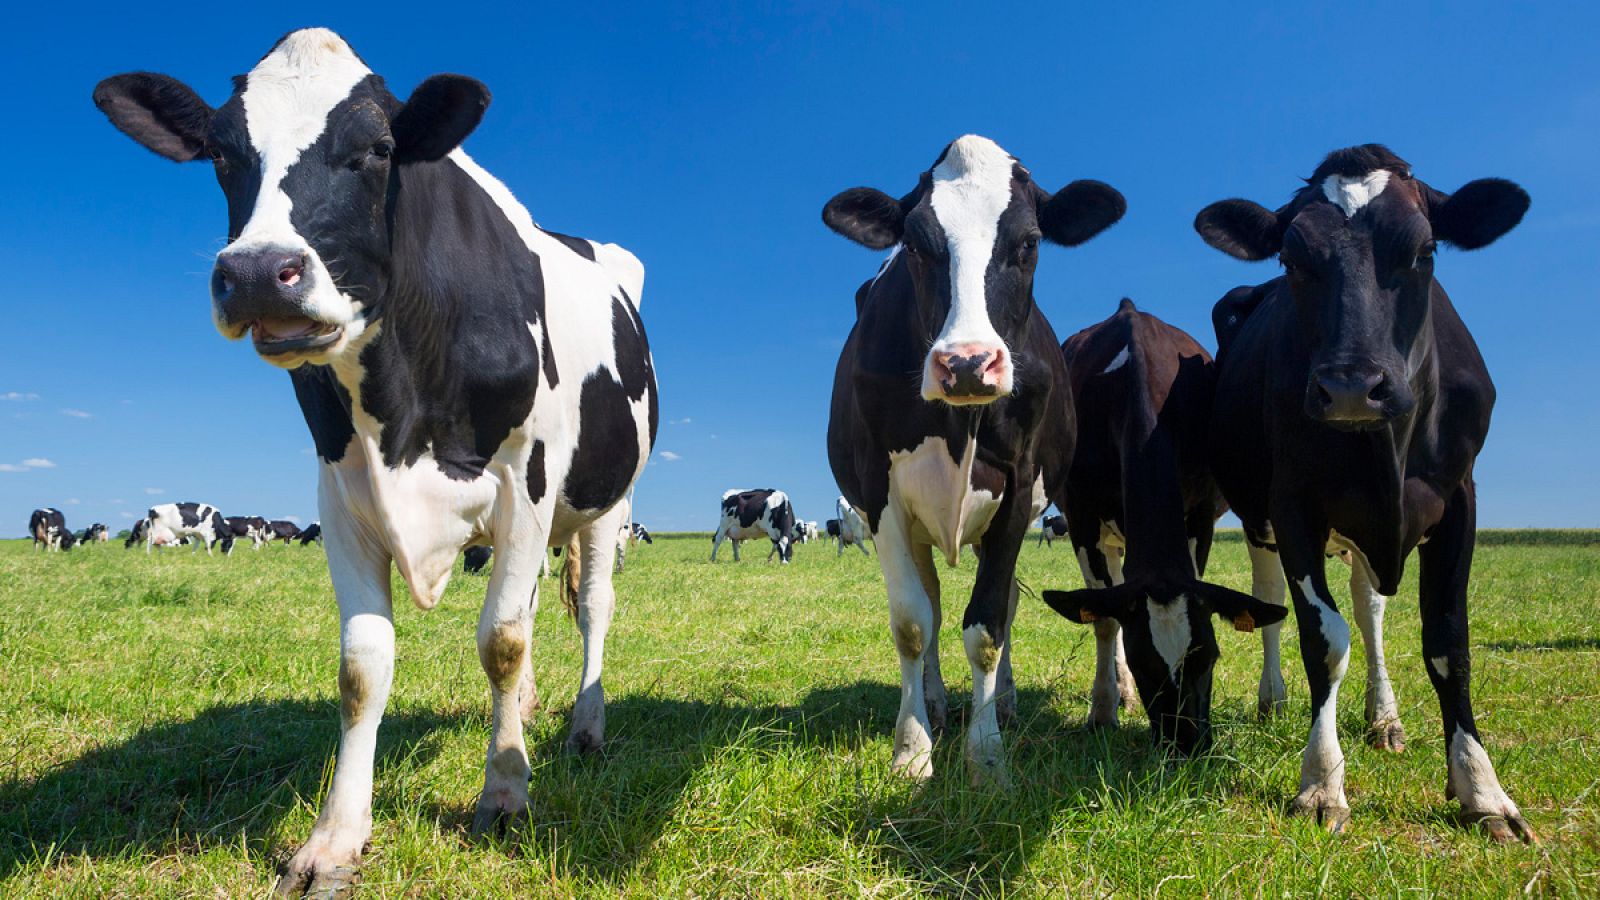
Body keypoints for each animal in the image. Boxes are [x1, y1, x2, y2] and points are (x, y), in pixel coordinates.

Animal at [96, 29, 659, 890]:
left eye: (378, 149)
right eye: (222, 152)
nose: (257, 273)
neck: (402, 401)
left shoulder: (523, 484)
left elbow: (499, 641)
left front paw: (504, 793)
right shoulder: (340, 495)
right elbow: (363, 667)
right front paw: (334, 838)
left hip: (605, 502)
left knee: (592, 607)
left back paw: (584, 729)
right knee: (533, 607)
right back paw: (529, 711)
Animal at [825, 131, 1126, 778]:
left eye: (1030, 241)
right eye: (915, 244)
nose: (966, 363)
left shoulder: (1019, 486)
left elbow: (987, 626)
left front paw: (987, 756)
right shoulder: (879, 492)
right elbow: (913, 623)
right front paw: (913, 748)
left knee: (1004, 604)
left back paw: (1006, 703)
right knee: (934, 604)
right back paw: (937, 704)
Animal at [1036, 299, 1286, 749]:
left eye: (1209, 655)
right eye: (1142, 663)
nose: (1186, 743)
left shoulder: (1200, 514)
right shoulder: (1082, 519)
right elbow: (1104, 619)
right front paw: (1103, 710)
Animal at [1196, 143, 1529, 839]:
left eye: (1425, 250)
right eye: (1292, 259)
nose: (1351, 387)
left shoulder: (1460, 498)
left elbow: (1447, 642)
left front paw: (1482, 788)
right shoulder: (1293, 505)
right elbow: (1323, 640)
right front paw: (1322, 782)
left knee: (1370, 608)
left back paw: (1385, 719)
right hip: (1263, 516)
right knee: (1273, 597)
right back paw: (1273, 698)